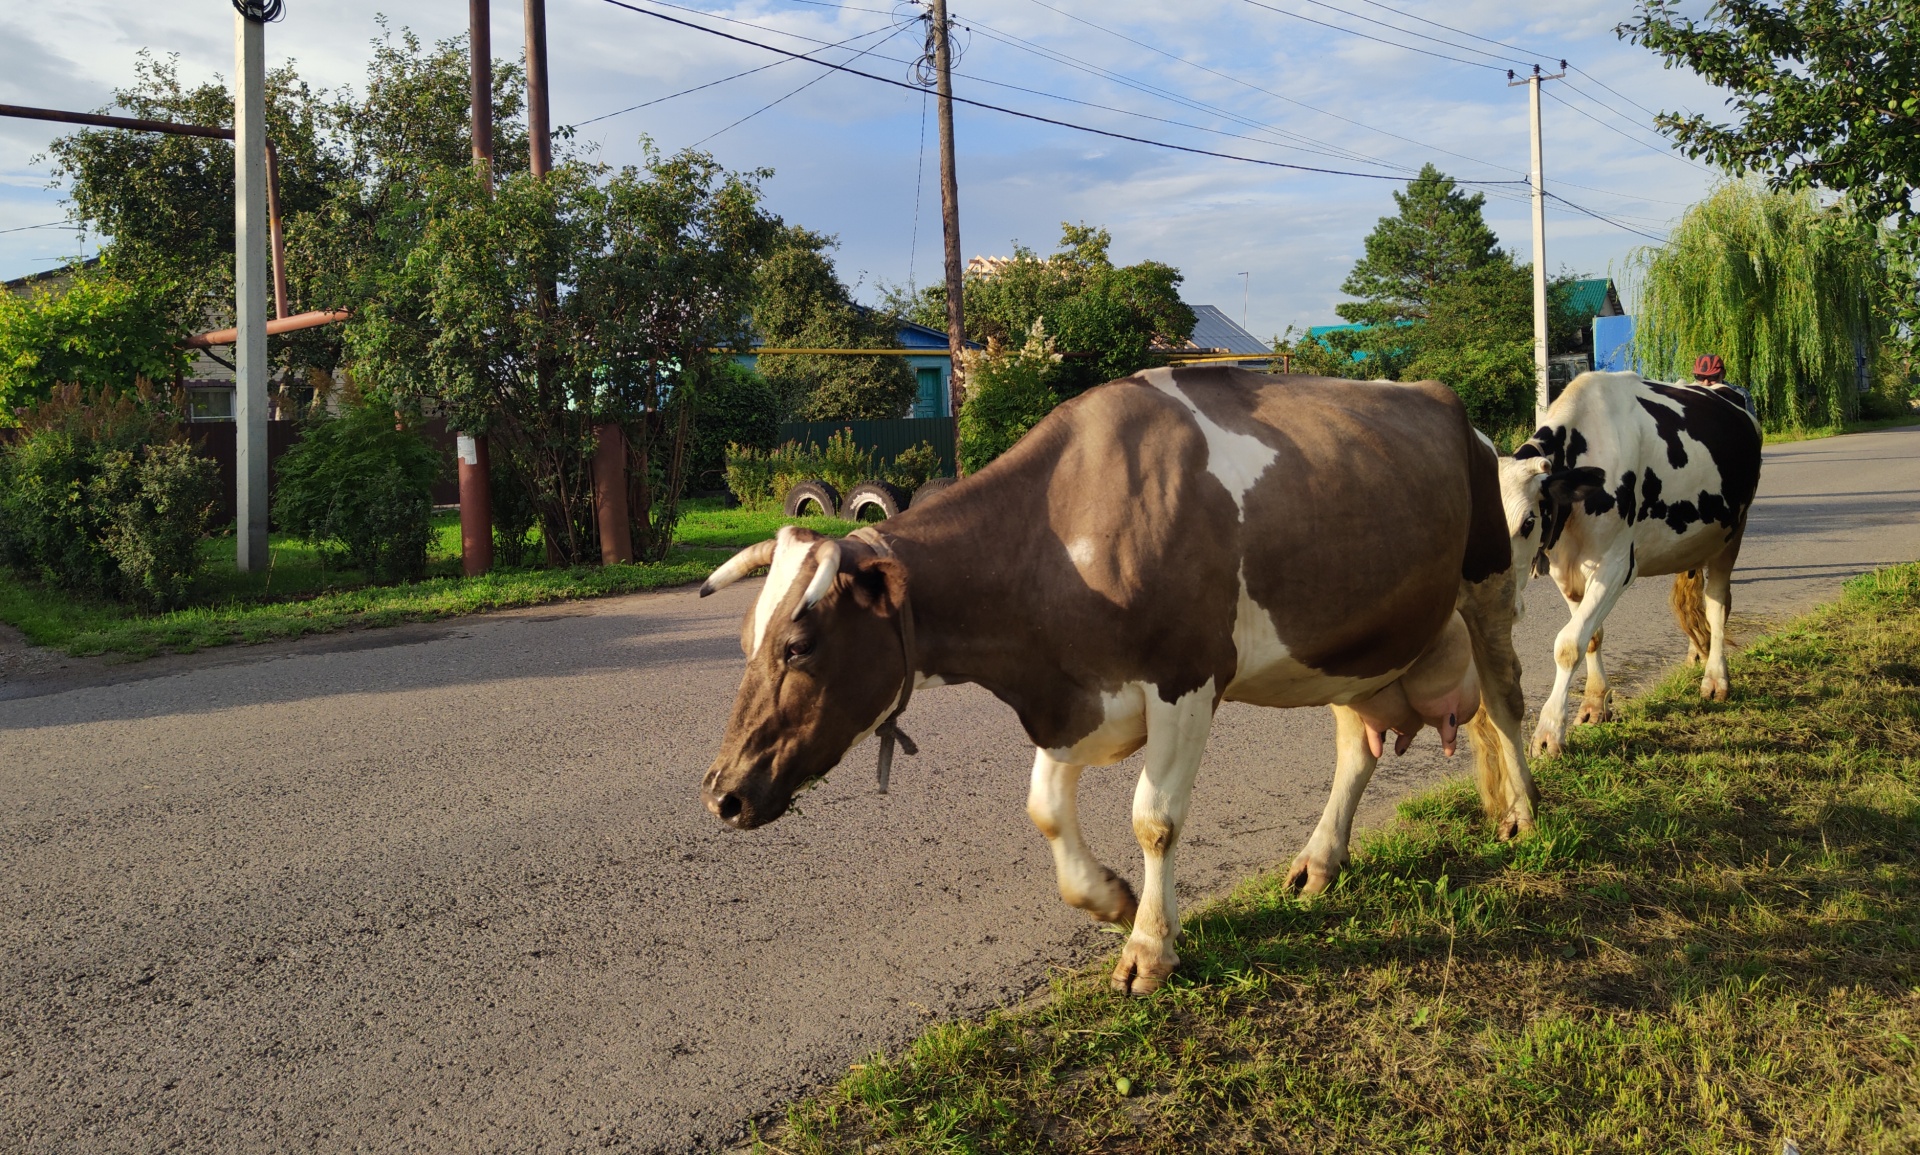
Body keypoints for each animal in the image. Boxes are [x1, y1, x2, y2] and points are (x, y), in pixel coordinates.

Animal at [698, 366, 1536, 990]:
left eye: (798, 644)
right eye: (746, 641)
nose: (721, 793)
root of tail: (1452, 406)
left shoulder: (1187, 678)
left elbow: (1154, 818)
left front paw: (1150, 947)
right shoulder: (1070, 695)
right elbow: (1043, 810)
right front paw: (1109, 899)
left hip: (1491, 582)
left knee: (1505, 700)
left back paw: (1524, 814)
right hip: (1347, 643)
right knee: (1357, 746)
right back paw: (1319, 862)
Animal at [1505, 364, 1758, 752]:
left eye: (1529, 522)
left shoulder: (1617, 566)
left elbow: (1568, 644)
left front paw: (1548, 733)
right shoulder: (1566, 568)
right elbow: (1591, 635)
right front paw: (1595, 704)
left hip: (1732, 532)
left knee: (1717, 604)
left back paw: (1715, 678)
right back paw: (1696, 653)